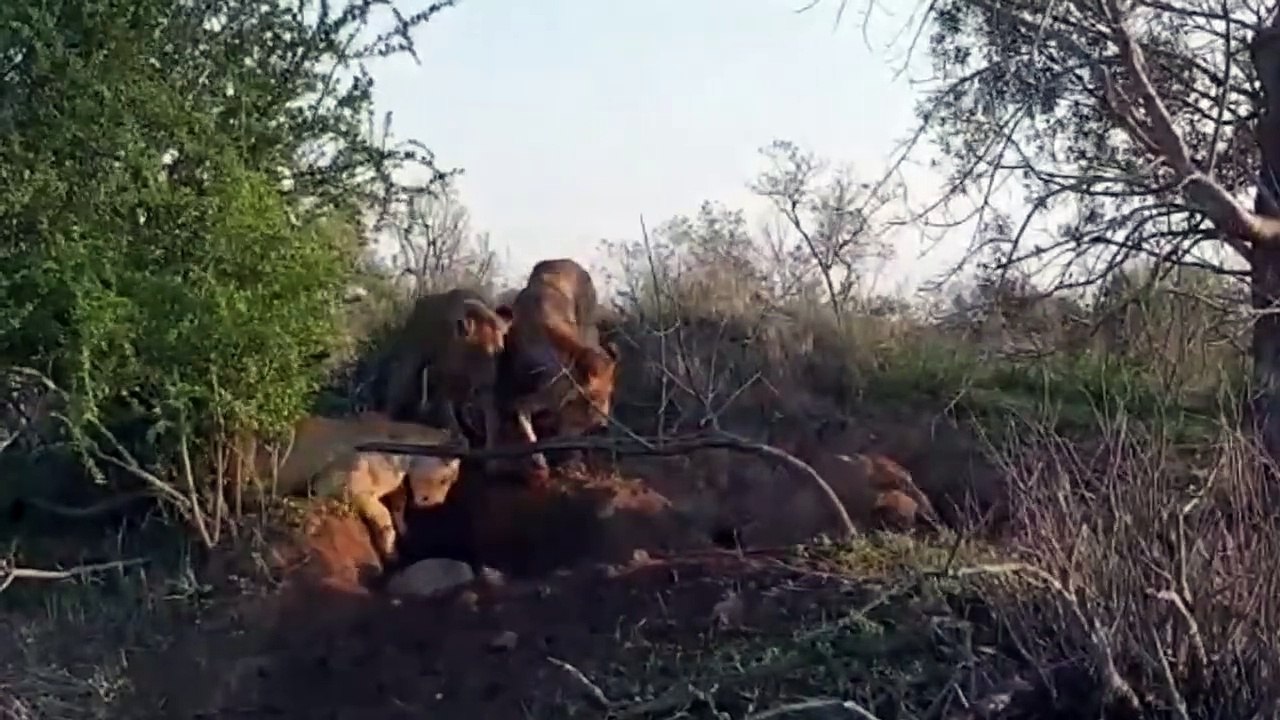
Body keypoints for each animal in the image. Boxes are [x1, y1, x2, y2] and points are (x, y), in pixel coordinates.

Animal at [378, 288, 513, 451]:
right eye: (477, 351)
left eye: (499, 351)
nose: (487, 384)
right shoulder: (442, 378)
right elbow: (447, 409)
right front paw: (459, 437)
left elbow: (487, 416)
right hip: (410, 367)